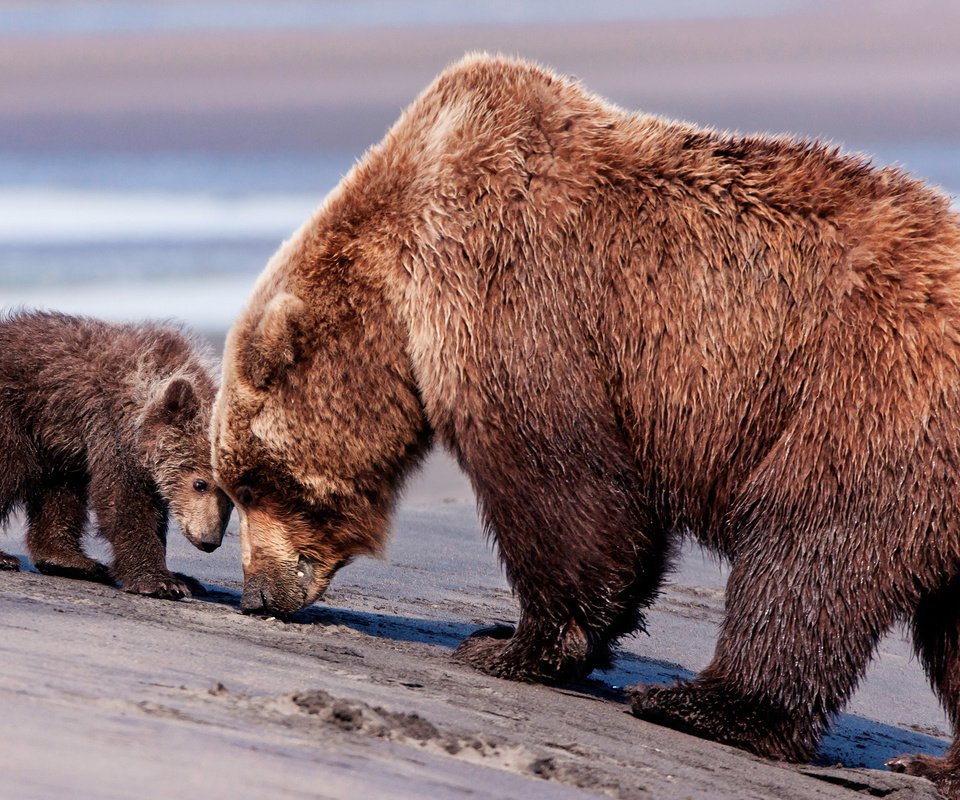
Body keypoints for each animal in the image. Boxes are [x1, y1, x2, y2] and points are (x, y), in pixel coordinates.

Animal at [214, 54, 960, 792]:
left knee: (808, 545)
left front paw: (509, 645)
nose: (257, 593)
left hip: (865, 397)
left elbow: (566, 490)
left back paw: (703, 703)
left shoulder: (514, 291)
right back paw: (929, 762)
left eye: (250, 484)